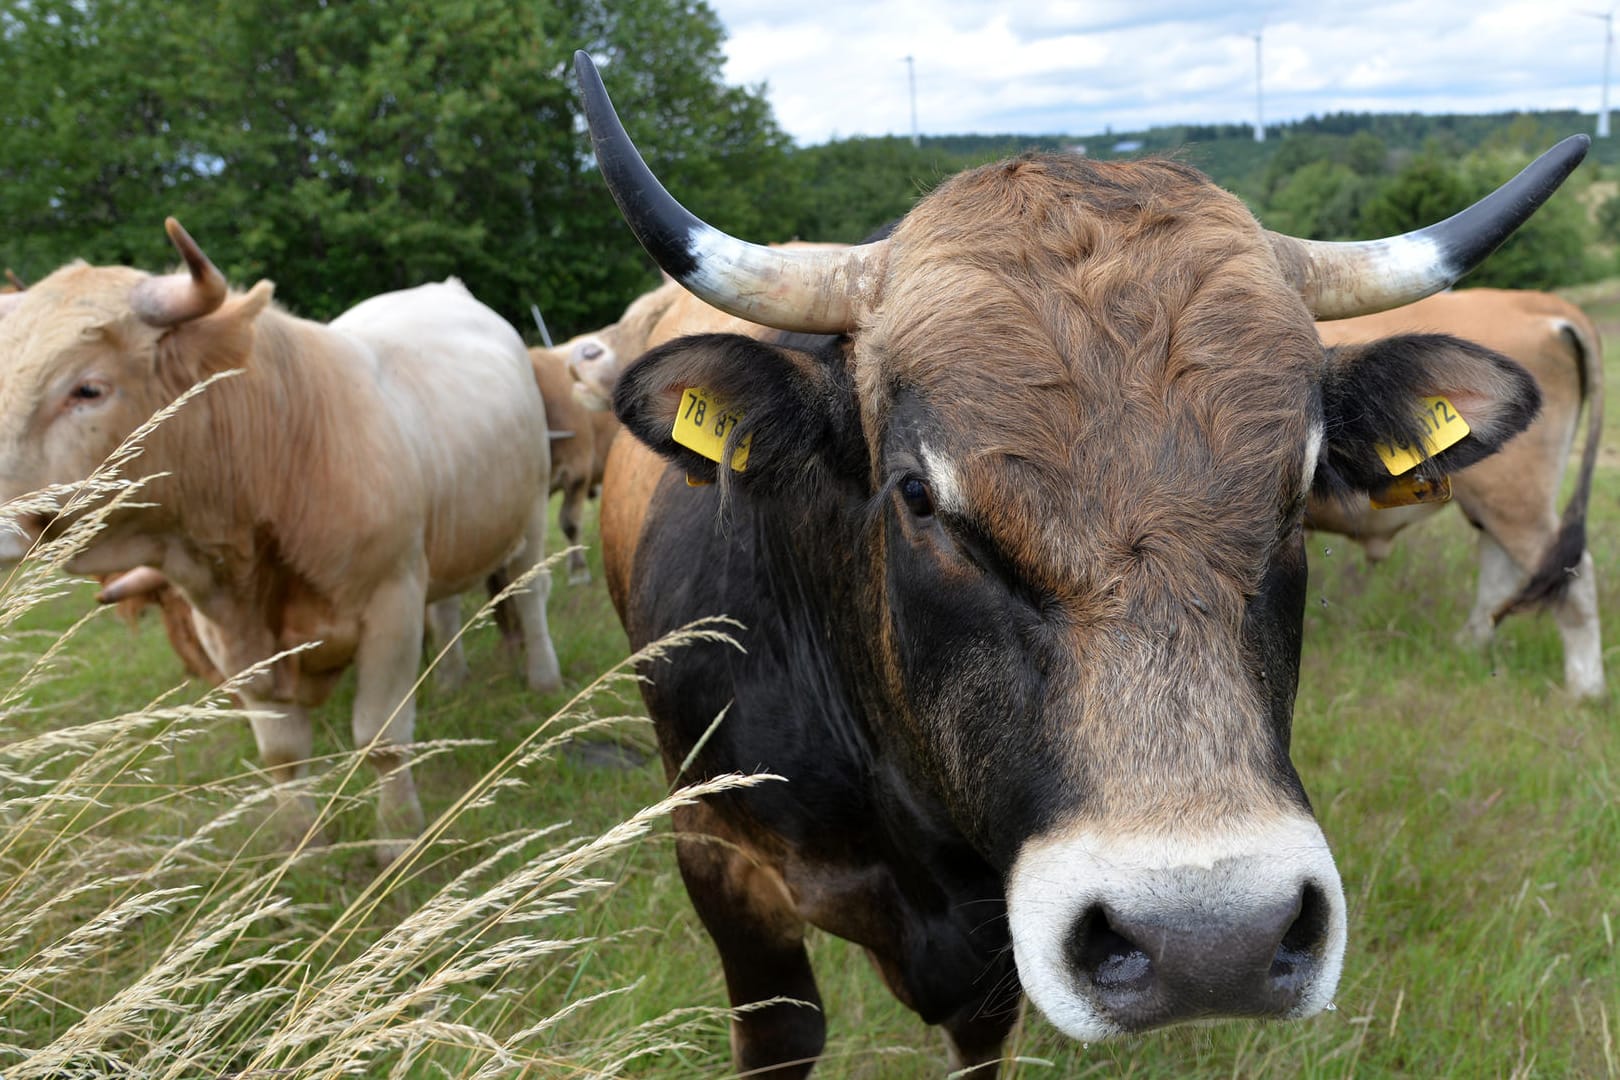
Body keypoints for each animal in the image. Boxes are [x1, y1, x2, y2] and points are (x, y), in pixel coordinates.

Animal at [0, 220, 563, 861]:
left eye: (88, 389)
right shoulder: (231, 636)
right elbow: (282, 753)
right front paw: (299, 842)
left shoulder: (391, 602)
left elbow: (382, 738)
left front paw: (398, 838)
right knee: (445, 611)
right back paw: (449, 679)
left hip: (530, 512)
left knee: (531, 595)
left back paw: (544, 678)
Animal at [1308, 291, 1600, 702]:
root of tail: (1534, 301)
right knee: (1501, 567)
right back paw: (1468, 646)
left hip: (1518, 502)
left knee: (1574, 574)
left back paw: (1584, 690)